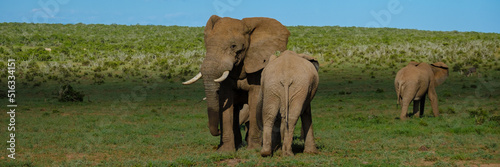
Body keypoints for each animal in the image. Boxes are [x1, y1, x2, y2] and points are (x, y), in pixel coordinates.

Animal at [183, 15, 290, 151]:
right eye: (206, 45)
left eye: (233, 46)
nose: (218, 130)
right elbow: (226, 99)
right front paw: (225, 151)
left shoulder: (256, 67)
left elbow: (254, 98)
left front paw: (253, 149)